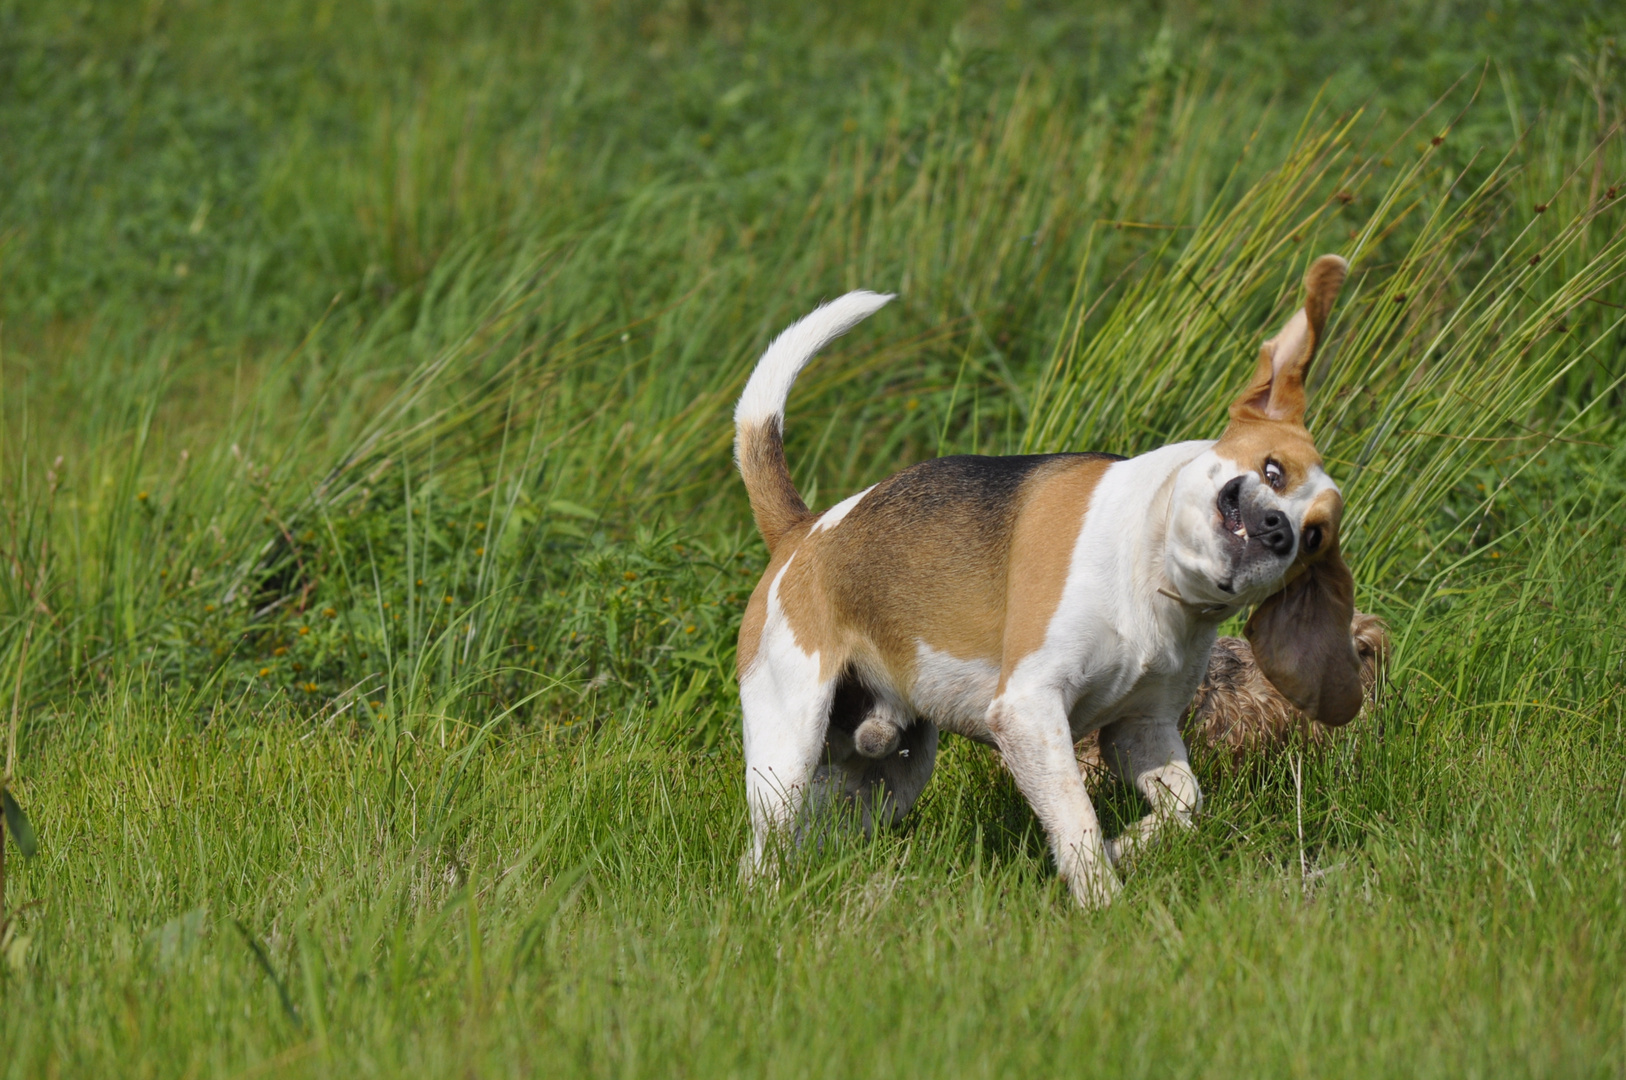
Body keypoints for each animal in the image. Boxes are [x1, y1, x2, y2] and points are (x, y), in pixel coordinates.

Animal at [734, 253, 1359, 904]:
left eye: (1316, 538)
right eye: (1273, 471)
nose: (1281, 533)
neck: (1151, 575)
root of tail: (801, 531)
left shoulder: (1143, 729)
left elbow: (1185, 806)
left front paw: (1123, 848)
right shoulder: (1030, 711)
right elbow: (1077, 816)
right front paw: (1102, 899)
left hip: (887, 774)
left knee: (806, 836)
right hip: (789, 744)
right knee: (767, 844)